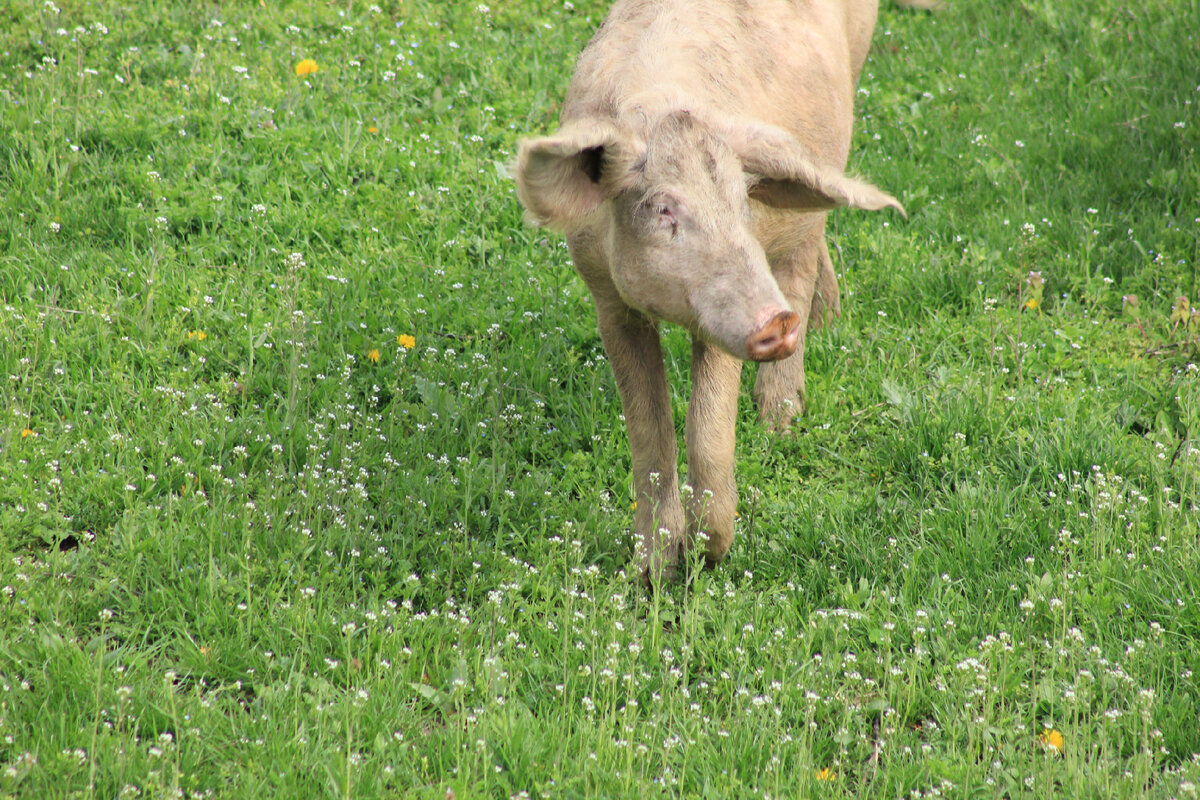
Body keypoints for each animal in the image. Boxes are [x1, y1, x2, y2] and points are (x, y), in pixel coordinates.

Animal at [513, 0, 902, 585]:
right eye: (663, 208)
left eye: (742, 201)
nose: (776, 322)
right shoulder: (608, 300)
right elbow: (649, 433)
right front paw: (652, 575)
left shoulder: (723, 317)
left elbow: (708, 426)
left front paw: (708, 555)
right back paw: (824, 323)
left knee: (803, 249)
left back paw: (781, 421)